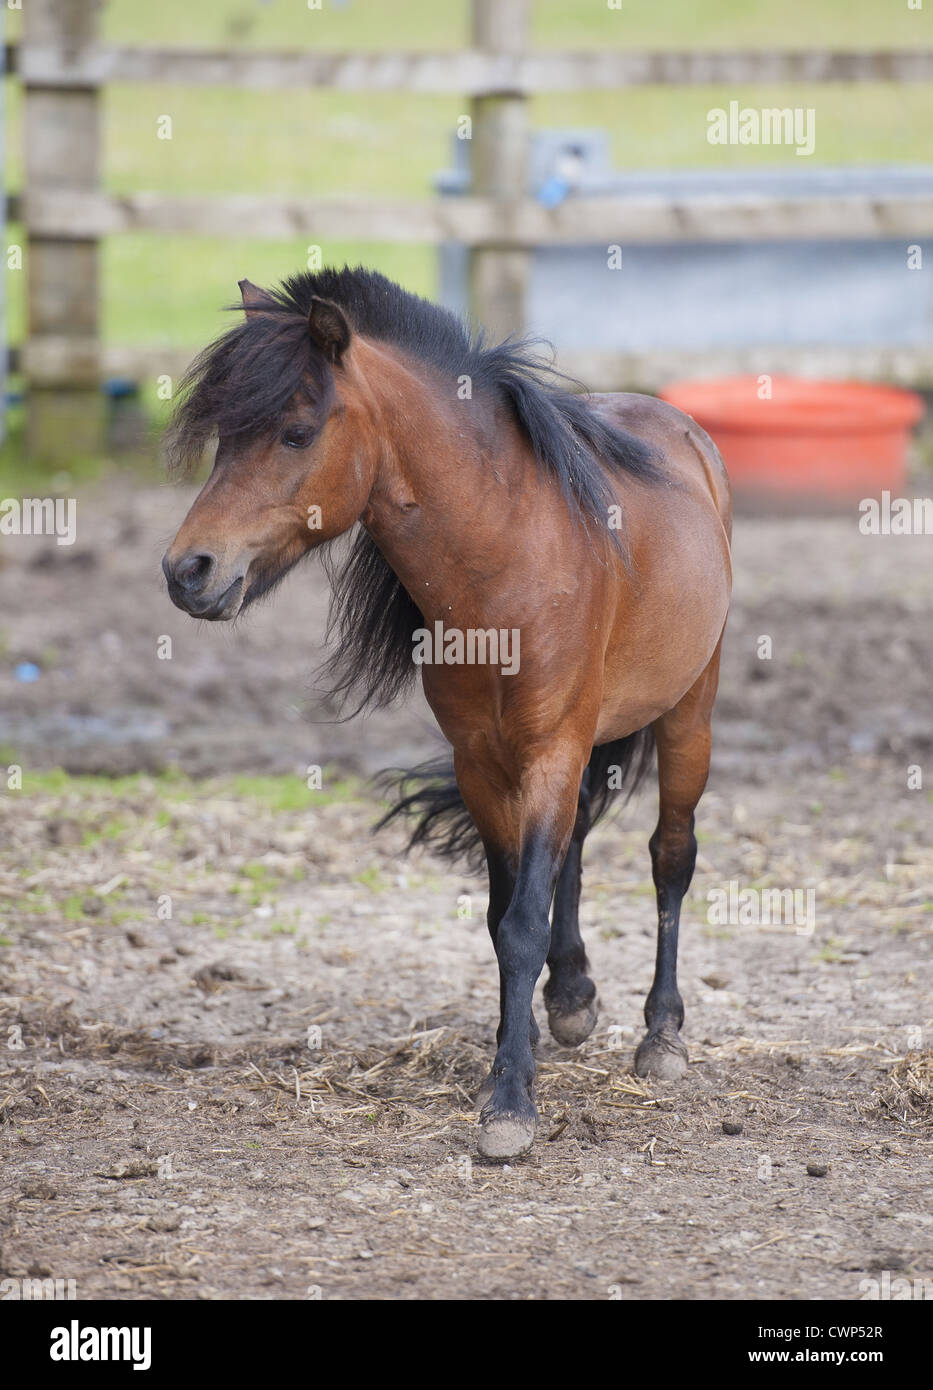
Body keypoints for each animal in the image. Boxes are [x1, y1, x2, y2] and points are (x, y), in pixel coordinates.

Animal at [163, 266, 732, 1163]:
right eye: (226, 438)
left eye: (295, 432)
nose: (187, 570)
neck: (509, 556)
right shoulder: (481, 759)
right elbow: (506, 918)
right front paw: (515, 1054)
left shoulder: (549, 747)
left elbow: (525, 920)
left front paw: (510, 1107)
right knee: (575, 844)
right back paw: (571, 1000)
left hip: (687, 715)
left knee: (670, 857)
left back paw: (661, 1035)